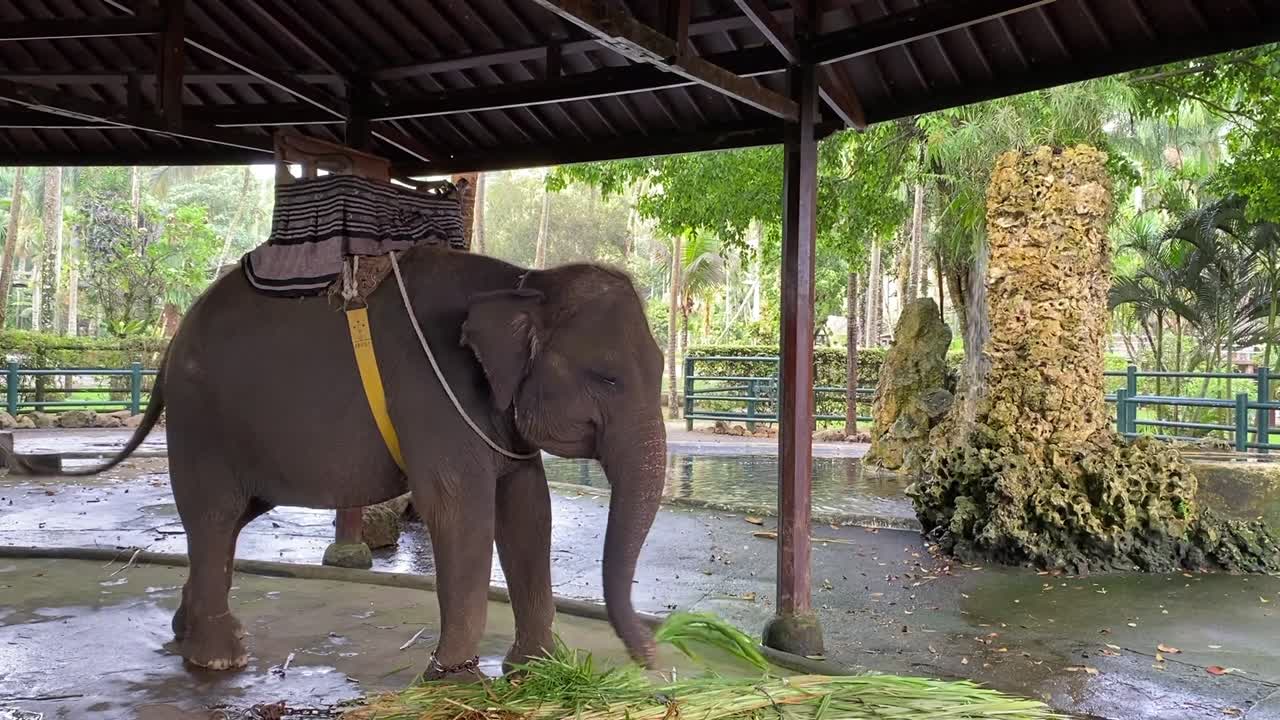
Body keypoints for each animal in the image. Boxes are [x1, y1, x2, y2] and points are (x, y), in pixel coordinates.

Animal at [3, 246, 667, 677]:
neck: (525, 279)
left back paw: (183, 632)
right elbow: (459, 506)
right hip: (203, 425)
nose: (654, 663)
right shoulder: (431, 393)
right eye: (608, 378)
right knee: (214, 516)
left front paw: (539, 670)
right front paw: (451, 676)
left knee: (227, 520)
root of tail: (167, 351)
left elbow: (529, 505)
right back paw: (219, 658)